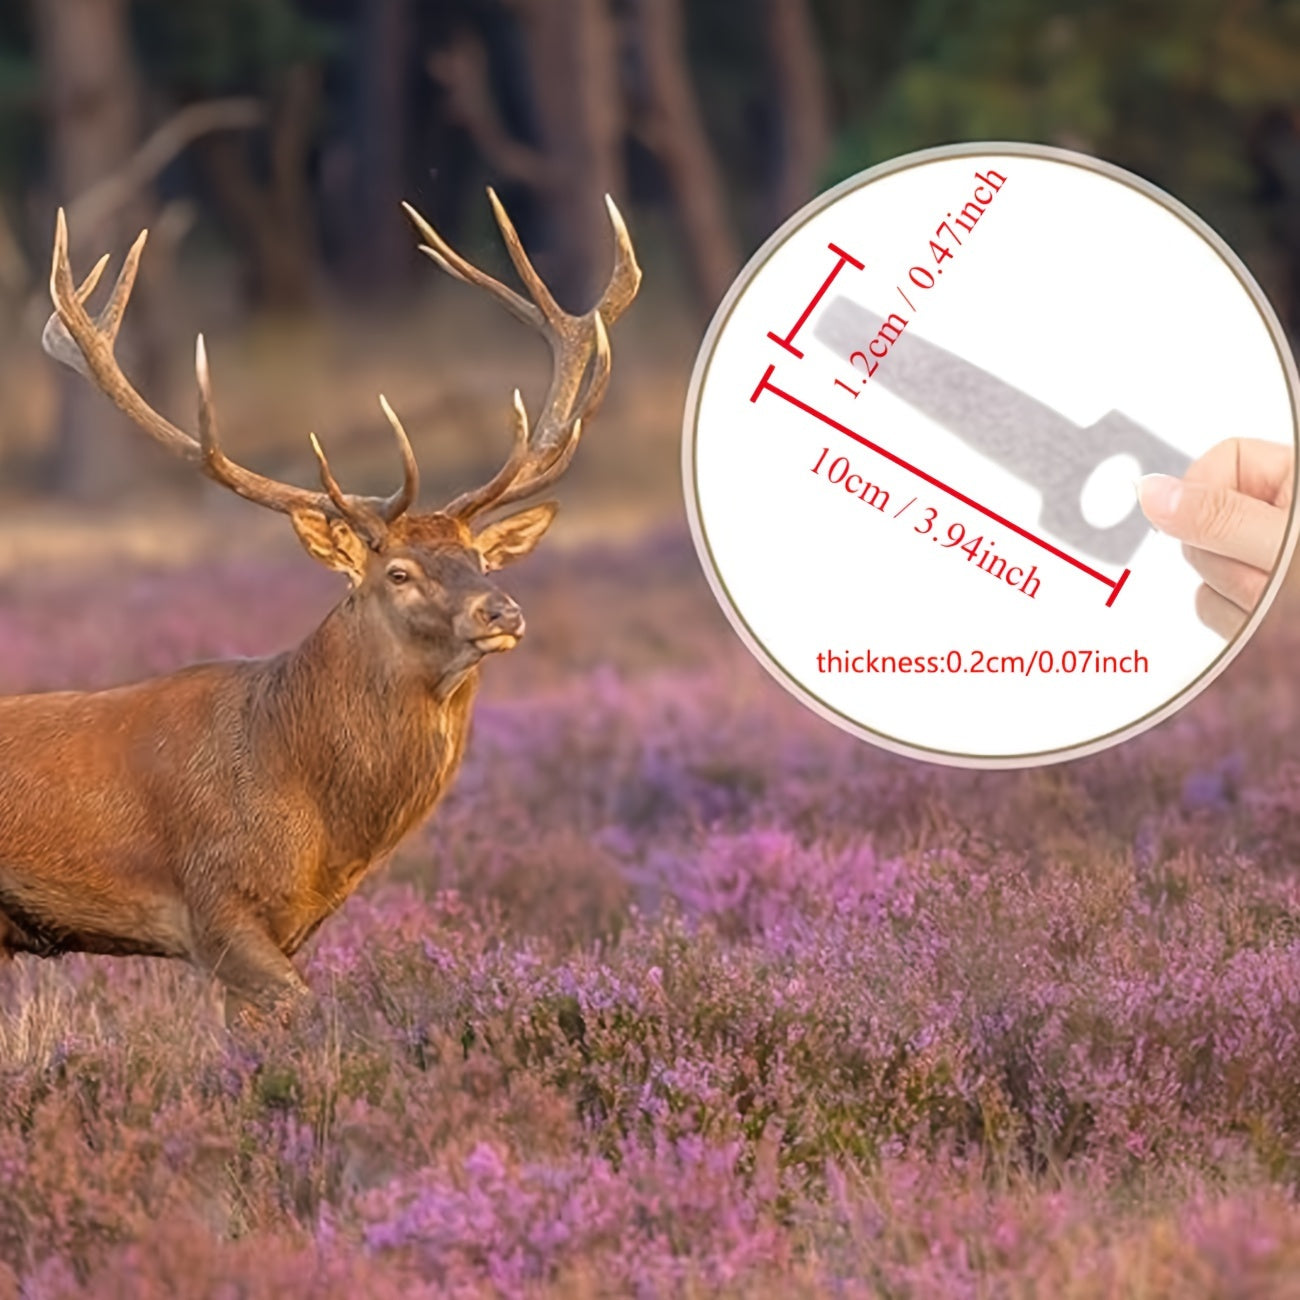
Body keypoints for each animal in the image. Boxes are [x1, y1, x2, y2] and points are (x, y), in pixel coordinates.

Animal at [0, 190, 639, 1021]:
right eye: (398, 572)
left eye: (478, 557)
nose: (501, 611)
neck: (316, 819)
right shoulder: (216, 908)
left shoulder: (290, 926)